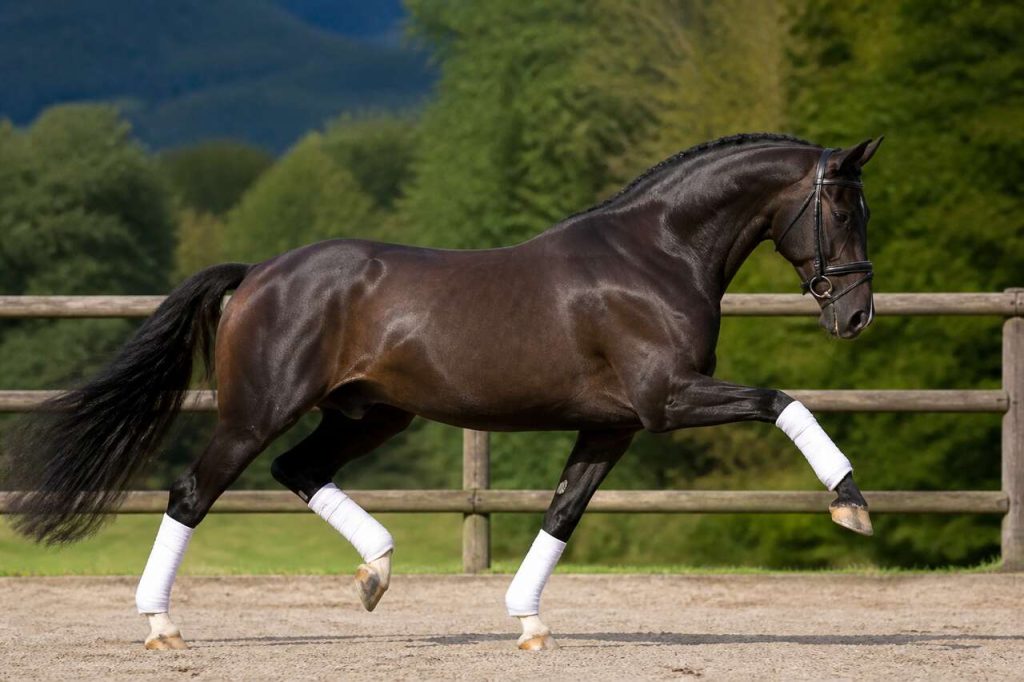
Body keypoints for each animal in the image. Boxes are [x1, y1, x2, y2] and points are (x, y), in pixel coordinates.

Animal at [6, 132, 883, 651]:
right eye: (843, 207)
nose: (856, 314)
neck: (654, 254)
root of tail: (258, 273)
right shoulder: (666, 400)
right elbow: (783, 401)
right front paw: (851, 503)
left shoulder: (613, 426)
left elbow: (563, 513)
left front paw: (528, 623)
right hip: (257, 412)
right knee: (192, 492)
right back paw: (161, 626)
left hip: (370, 415)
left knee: (299, 472)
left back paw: (376, 574)